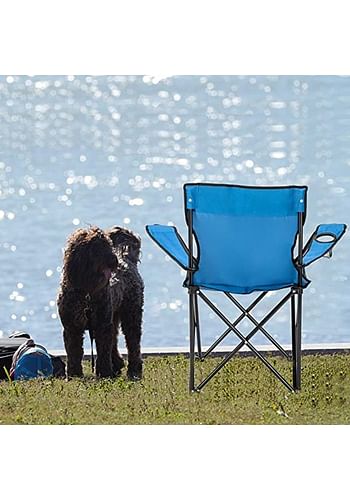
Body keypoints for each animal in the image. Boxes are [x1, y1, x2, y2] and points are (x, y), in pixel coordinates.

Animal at [57, 226, 144, 378]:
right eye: (96, 247)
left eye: (108, 245)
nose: (113, 260)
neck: (86, 291)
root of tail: (127, 259)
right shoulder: (72, 327)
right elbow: (73, 352)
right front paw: (74, 374)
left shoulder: (101, 326)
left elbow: (103, 351)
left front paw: (104, 373)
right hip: (113, 317)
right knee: (114, 340)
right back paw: (117, 365)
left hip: (131, 314)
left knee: (133, 342)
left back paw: (133, 369)